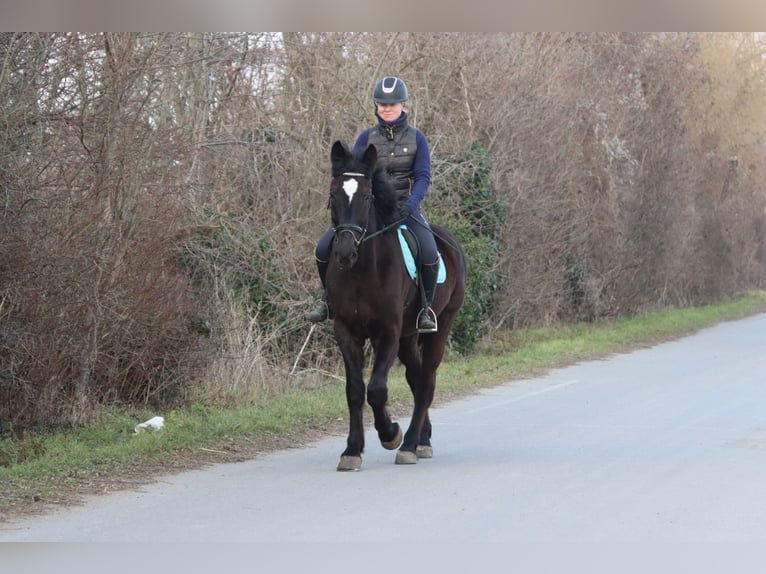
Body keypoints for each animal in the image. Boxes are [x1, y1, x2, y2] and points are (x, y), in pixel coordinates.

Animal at [324, 141, 468, 472]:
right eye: (334, 195)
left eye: (367, 196)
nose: (345, 252)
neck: (362, 270)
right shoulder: (345, 331)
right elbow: (355, 390)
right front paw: (352, 450)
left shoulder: (386, 332)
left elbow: (377, 390)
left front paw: (390, 434)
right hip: (408, 337)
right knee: (417, 380)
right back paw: (423, 440)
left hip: (439, 327)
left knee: (426, 383)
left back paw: (409, 445)